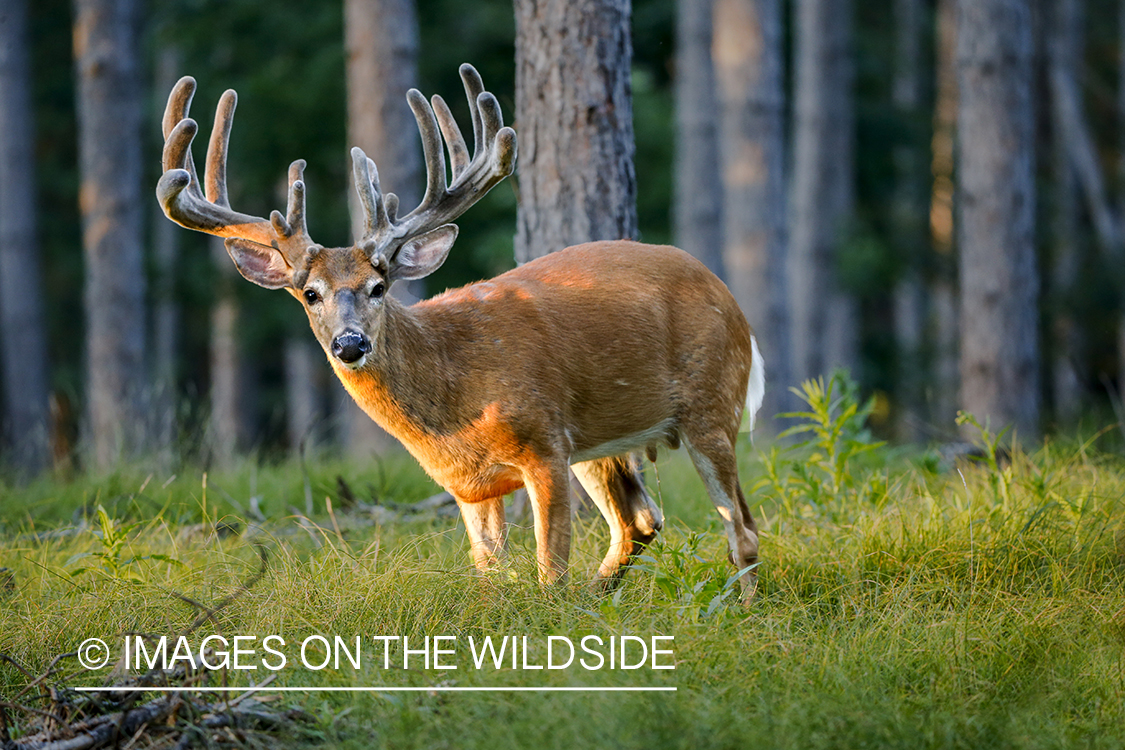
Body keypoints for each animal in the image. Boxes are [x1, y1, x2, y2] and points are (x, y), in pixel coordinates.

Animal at [156, 64, 765, 599]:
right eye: (311, 294)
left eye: (379, 287)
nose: (350, 343)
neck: (452, 403)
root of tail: (731, 298)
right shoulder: (468, 485)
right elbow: (490, 573)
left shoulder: (543, 441)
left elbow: (549, 571)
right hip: (602, 438)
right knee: (641, 521)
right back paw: (603, 598)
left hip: (712, 404)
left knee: (742, 529)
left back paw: (744, 611)